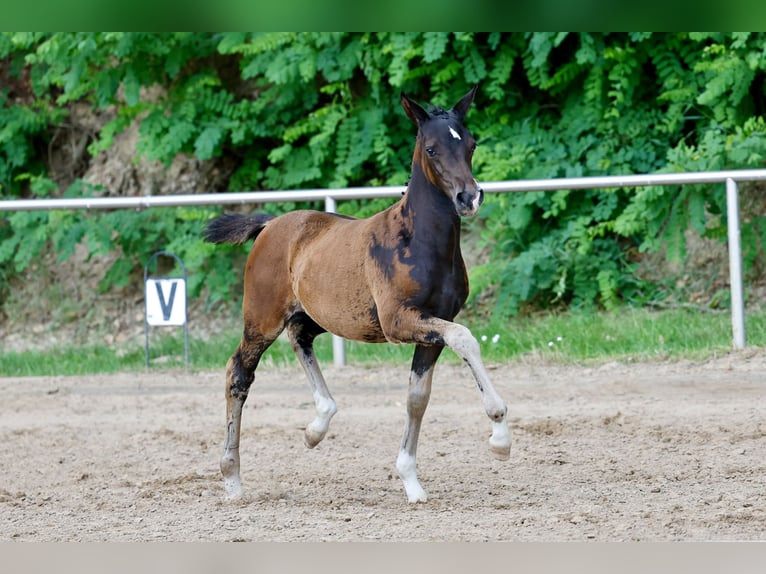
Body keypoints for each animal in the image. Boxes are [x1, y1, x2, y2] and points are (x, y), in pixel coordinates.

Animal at [202, 86, 511, 503]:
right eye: (431, 148)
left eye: (472, 144)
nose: (469, 197)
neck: (419, 241)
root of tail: (269, 226)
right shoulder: (400, 321)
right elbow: (465, 339)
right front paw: (500, 436)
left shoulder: (432, 327)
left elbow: (417, 397)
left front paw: (411, 481)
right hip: (261, 321)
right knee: (239, 374)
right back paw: (232, 478)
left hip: (319, 316)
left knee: (299, 339)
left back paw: (316, 427)